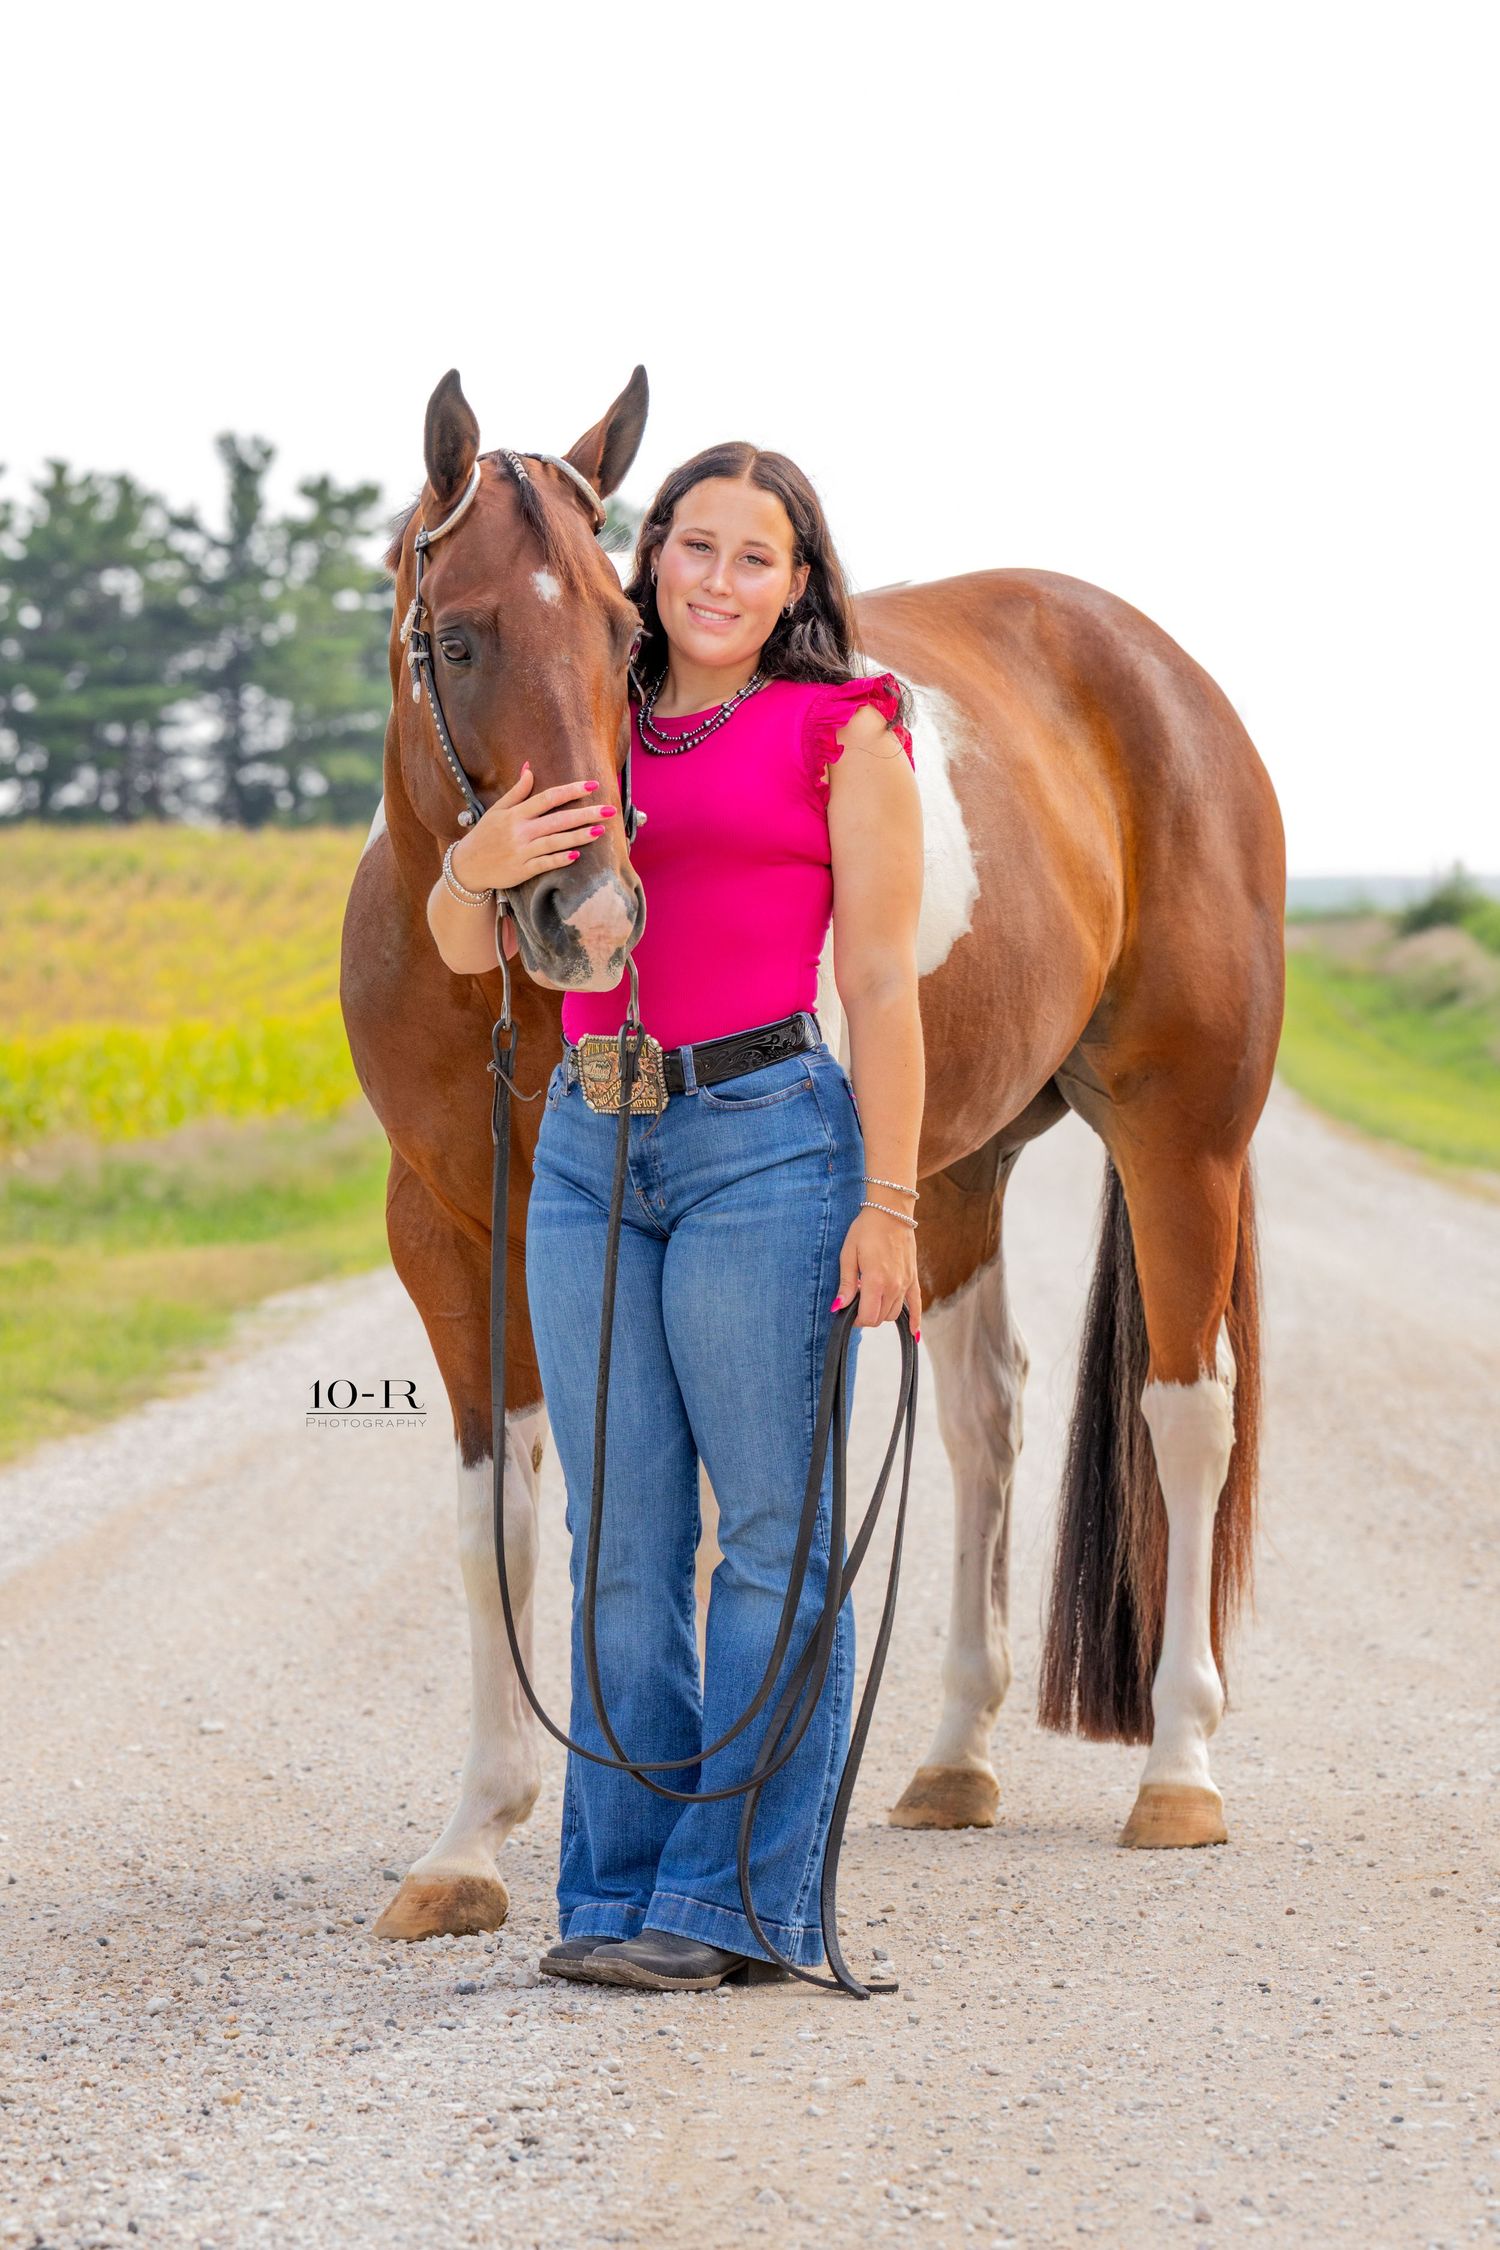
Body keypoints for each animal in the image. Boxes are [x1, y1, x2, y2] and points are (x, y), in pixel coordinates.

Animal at [339, 366, 1285, 1942]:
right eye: (458, 636)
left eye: (624, 639)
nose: (590, 918)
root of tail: (1165, 676)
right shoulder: (456, 1237)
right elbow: (507, 1523)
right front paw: (474, 1841)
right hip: (953, 1174)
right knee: (983, 1419)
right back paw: (955, 1757)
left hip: (1183, 1138)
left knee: (1186, 1414)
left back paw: (1182, 1771)